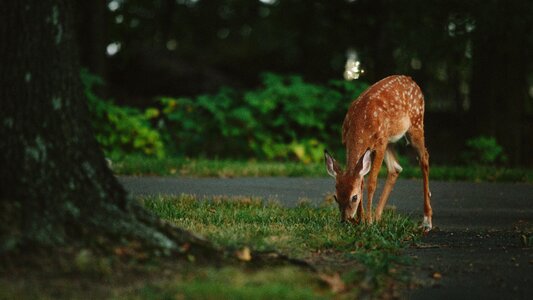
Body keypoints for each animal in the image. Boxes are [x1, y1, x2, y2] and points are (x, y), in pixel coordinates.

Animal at [324, 75, 432, 232]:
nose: (345, 220)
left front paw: (367, 221)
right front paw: (361, 220)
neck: (361, 124)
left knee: (424, 158)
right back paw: (377, 217)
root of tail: (411, 80)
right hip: (390, 140)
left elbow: (371, 183)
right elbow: (361, 180)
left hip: (416, 123)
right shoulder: (349, 142)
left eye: (354, 197)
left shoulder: (379, 145)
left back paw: (427, 221)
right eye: (335, 196)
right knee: (396, 168)